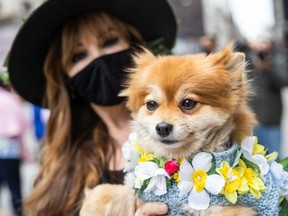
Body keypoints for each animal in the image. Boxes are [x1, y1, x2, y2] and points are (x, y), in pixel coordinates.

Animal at [79, 44, 258, 216]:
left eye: (188, 103)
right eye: (151, 105)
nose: (162, 127)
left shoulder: (226, 209)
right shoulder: (140, 191)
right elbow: (105, 192)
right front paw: (88, 208)